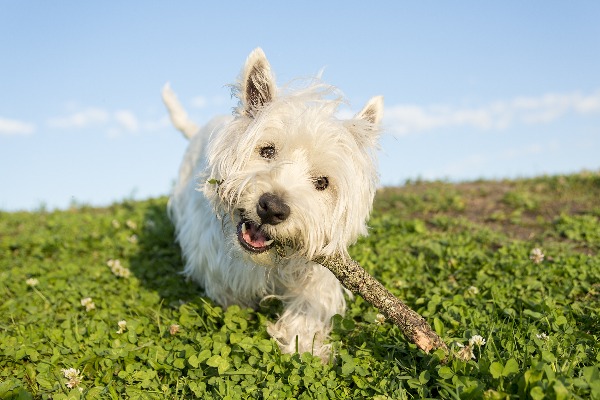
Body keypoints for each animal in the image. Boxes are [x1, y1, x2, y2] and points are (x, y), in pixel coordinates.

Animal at [162, 47, 382, 360]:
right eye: (267, 150)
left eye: (322, 182)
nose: (273, 208)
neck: (267, 263)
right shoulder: (215, 261)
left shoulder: (317, 269)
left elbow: (309, 304)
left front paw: (304, 346)